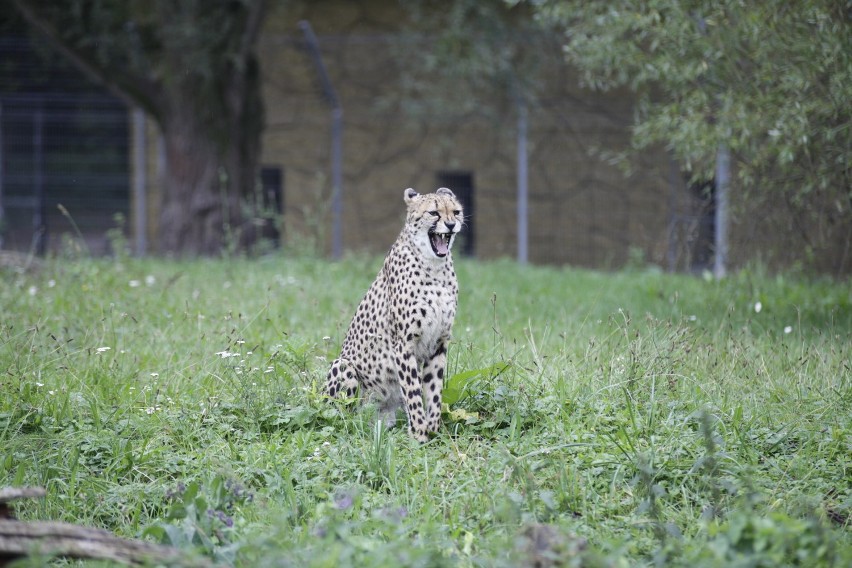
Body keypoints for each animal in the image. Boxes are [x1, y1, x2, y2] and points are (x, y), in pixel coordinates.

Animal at [326, 189, 462, 442]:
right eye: (434, 212)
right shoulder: (404, 344)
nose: (451, 224)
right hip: (343, 366)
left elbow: (434, 391)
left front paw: (433, 429)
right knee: (339, 417)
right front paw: (419, 434)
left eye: (456, 211)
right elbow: (413, 393)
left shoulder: (439, 343)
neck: (435, 267)